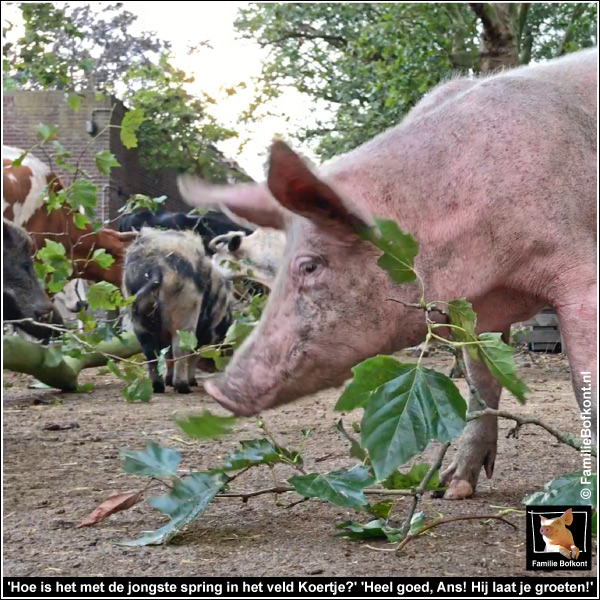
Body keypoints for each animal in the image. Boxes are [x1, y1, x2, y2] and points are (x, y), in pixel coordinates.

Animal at [123, 227, 232, 392]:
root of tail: (155, 267)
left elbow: (168, 355)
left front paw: (169, 381)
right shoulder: (203, 333)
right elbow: (193, 355)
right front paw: (191, 381)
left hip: (138, 318)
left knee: (150, 352)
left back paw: (158, 387)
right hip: (185, 313)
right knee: (180, 348)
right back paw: (184, 387)